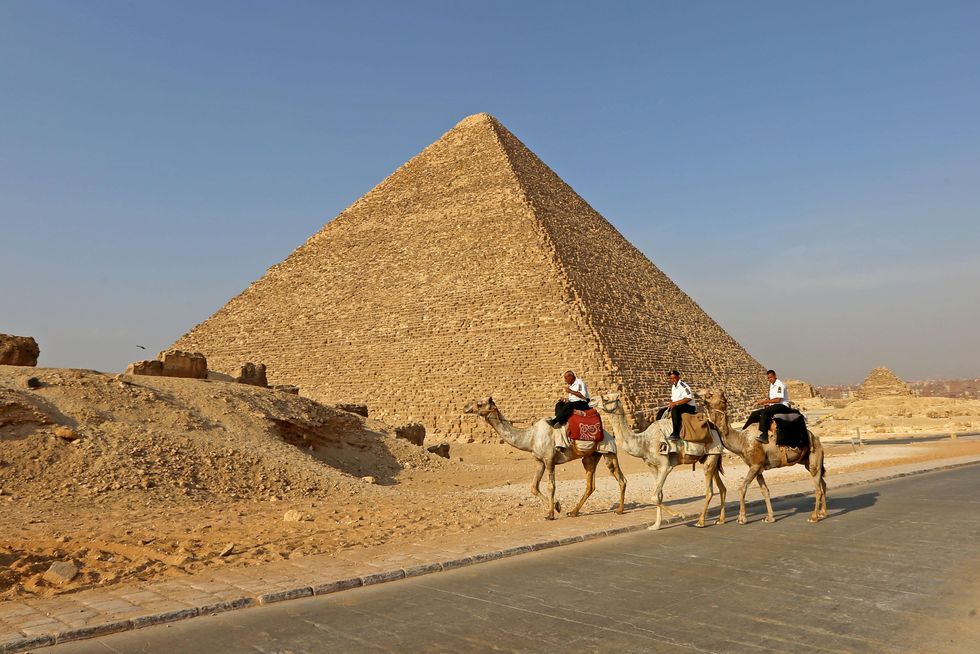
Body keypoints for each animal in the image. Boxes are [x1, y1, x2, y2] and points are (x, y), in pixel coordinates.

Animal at [462, 400, 628, 524]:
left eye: (480, 404)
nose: (465, 407)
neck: (530, 437)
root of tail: (610, 435)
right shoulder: (539, 461)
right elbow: (533, 487)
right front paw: (557, 506)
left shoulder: (549, 459)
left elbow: (551, 486)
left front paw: (551, 514)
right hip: (590, 456)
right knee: (590, 485)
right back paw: (573, 512)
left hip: (608, 452)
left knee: (621, 479)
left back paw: (619, 510)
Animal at [592, 392, 724, 532]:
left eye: (606, 398)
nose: (591, 400)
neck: (644, 442)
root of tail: (715, 429)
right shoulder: (653, 467)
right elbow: (659, 495)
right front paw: (656, 525)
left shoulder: (665, 466)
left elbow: (654, 497)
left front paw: (680, 514)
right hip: (711, 457)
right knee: (721, 487)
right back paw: (720, 520)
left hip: (711, 453)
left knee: (709, 490)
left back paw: (701, 521)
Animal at [700, 392, 832, 524]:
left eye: (712, 396)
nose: (704, 397)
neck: (741, 440)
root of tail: (816, 438)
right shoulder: (758, 468)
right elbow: (765, 491)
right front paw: (770, 518)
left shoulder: (755, 465)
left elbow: (742, 488)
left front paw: (742, 518)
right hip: (807, 461)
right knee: (823, 483)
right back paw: (822, 513)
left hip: (814, 456)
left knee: (818, 488)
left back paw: (813, 517)